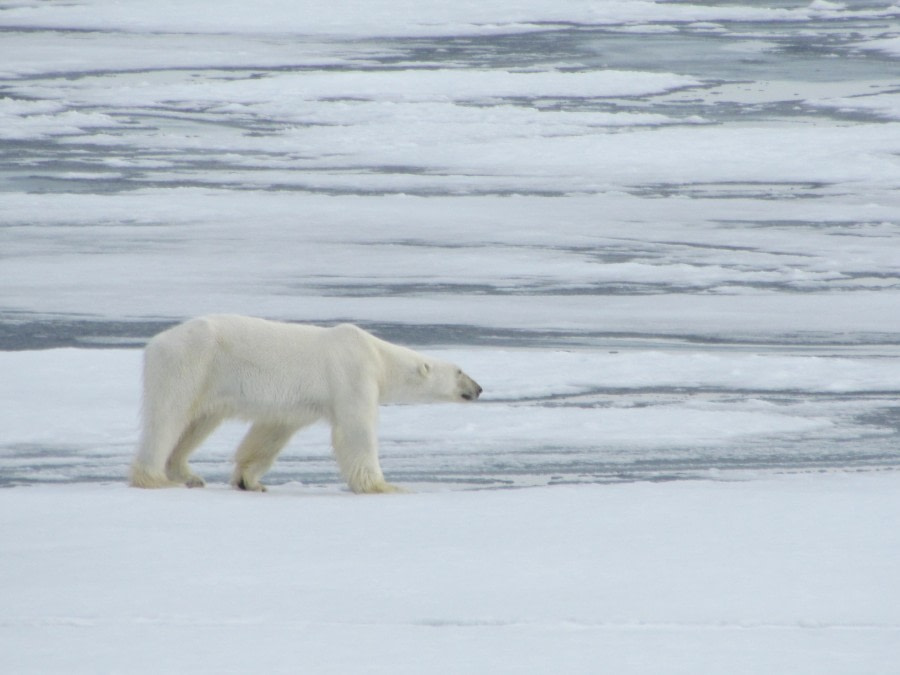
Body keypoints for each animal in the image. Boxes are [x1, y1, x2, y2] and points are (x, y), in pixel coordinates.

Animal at [129, 314, 482, 494]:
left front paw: (250, 480)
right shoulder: (352, 375)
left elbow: (271, 432)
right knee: (168, 416)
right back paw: (153, 478)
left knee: (198, 422)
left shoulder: (295, 406)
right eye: (460, 371)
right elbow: (356, 431)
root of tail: (156, 341)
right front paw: (384, 486)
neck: (378, 356)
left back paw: (188, 474)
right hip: (190, 364)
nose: (478, 388)